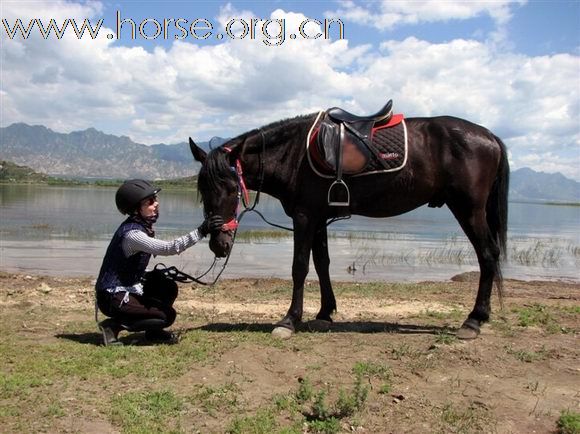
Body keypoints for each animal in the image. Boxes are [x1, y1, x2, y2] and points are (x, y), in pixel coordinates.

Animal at [190, 107, 508, 340]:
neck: (293, 154)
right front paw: (324, 313)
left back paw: (474, 320)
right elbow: (322, 264)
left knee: (487, 255)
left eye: (232, 188)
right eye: (203, 189)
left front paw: (289, 320)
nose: (219, 244)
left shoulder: (304, 217)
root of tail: (488, 135)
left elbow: (299, 267)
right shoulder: (318, 218)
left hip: (468, 209)